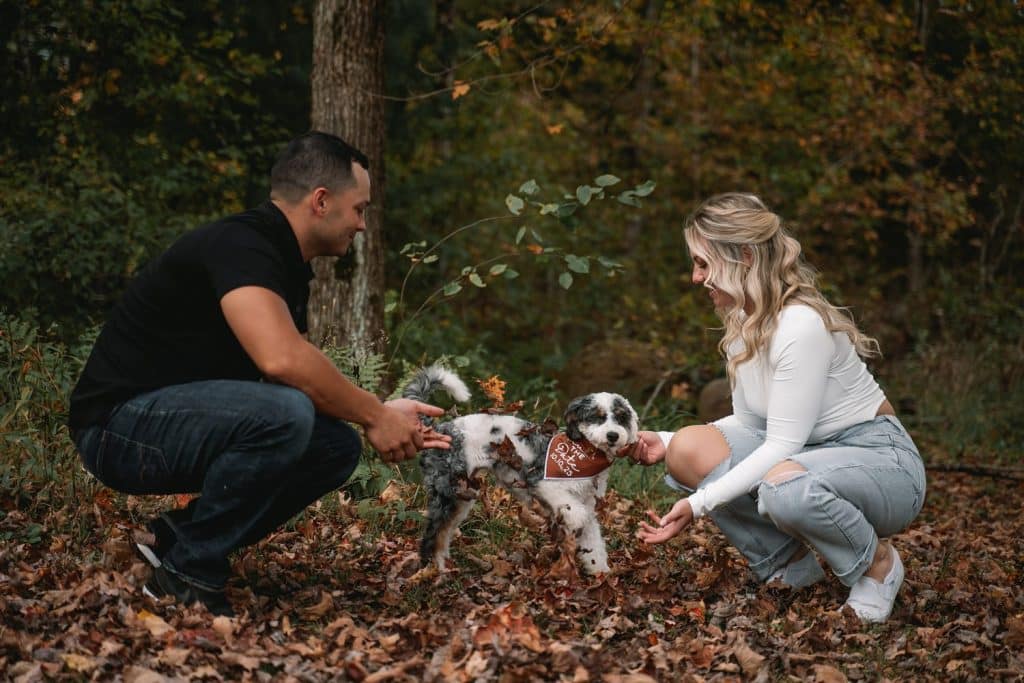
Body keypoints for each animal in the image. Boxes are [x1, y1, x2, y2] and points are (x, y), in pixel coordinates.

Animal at [401, 366, 634, 573]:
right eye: (597, 416)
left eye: (622, 417)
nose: (613, 435)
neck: (583, 450)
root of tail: (439, 429)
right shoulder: (544, 483)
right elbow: (575, 511)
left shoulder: (588, 503)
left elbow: (593, 543)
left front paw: (600, 572)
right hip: (447, 493)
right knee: (432, 535)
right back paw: (435, 571)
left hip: (462, 496)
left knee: (443, 533)